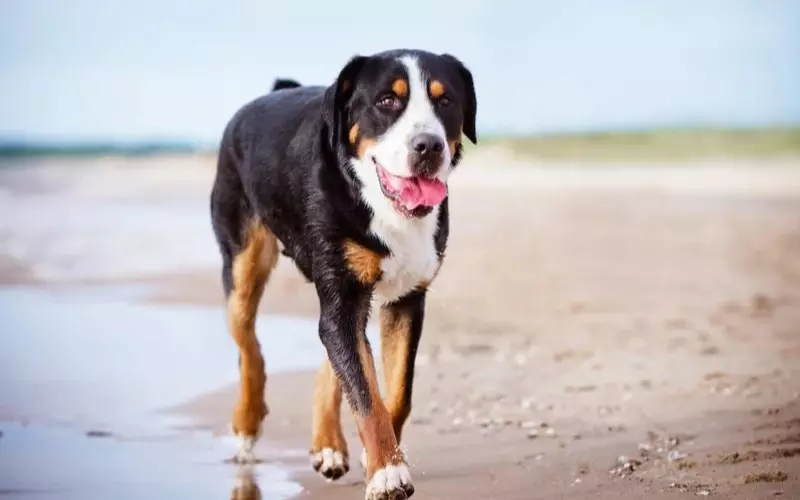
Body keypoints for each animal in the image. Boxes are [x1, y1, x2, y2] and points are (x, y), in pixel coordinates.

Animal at [209, 47, 478, 500]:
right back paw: (247, 423)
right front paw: (387, 472)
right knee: (249, 346)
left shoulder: (406, 299)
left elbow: (393, 393)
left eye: (445, 101)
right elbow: (366, 395)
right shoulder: (344, 295)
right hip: (243, 262)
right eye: (387, 100)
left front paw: (380, 459)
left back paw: (328, 444)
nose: (428, 146)